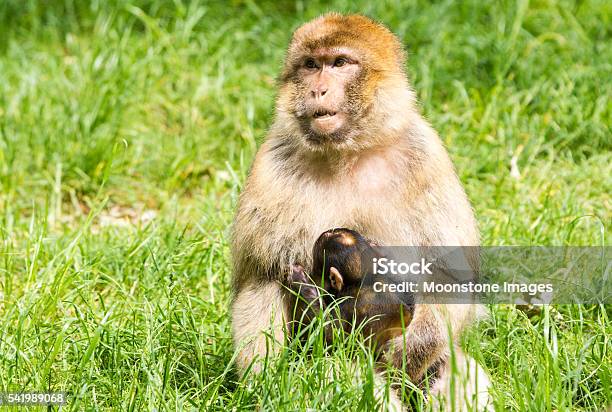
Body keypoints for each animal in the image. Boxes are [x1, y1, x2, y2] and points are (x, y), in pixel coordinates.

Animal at [230, 12, 488, 408]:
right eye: (311, 65)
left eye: (340, 63)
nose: (318, 90)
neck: (348, 151)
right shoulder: (273, 164)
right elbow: (261, 279)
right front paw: (267, 383)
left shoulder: (425, 155)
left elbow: (449, 276)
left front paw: (408, 353)